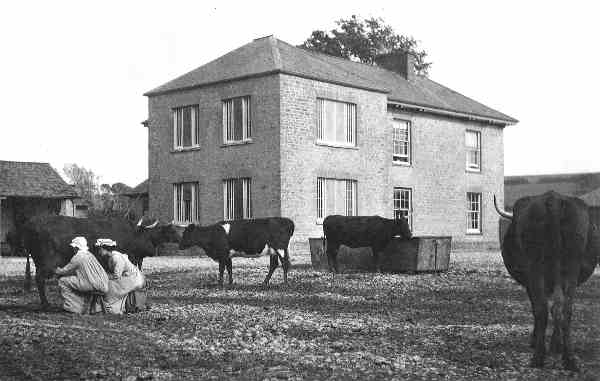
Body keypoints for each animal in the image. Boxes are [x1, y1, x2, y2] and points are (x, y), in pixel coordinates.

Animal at [21, 214, 180, 306]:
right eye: (147, 235)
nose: (152, 251)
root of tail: (32, 223)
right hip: (45, 263)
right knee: (39, 279)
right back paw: (46, 304)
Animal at [494, 191, 596, 370]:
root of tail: (553, 199)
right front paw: (556, 344)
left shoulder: (529, 282)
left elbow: (537, 308)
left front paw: (537, 340)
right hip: (571, 267)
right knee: (564, 309)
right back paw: (568, 359)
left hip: (535, 268)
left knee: (542, 309)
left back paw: (538, 356)